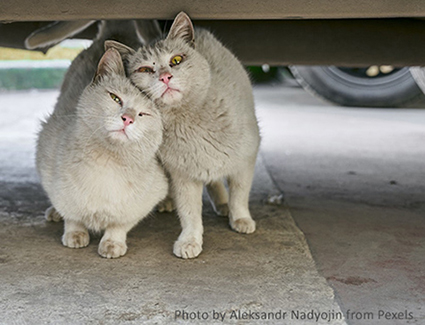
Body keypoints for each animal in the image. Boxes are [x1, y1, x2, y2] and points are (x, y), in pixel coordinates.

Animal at [35, 48, 167, 256]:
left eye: (143, 114)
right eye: (115, 98)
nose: (127, 119)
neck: (107, 162)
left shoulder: (143, 202)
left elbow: (119, 224)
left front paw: (112, 243)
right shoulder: (48, 164)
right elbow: (72, 214)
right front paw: (75, 234)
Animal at [107, 12, 258, 258]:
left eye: (176, 60)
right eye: (145, 70)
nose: (165, 77)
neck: (188, 121)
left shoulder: (246, 159)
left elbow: (240, 194)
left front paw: (241, 218)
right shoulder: (183, 176)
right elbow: (189, 213)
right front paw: (190, 240)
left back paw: (224, 205)